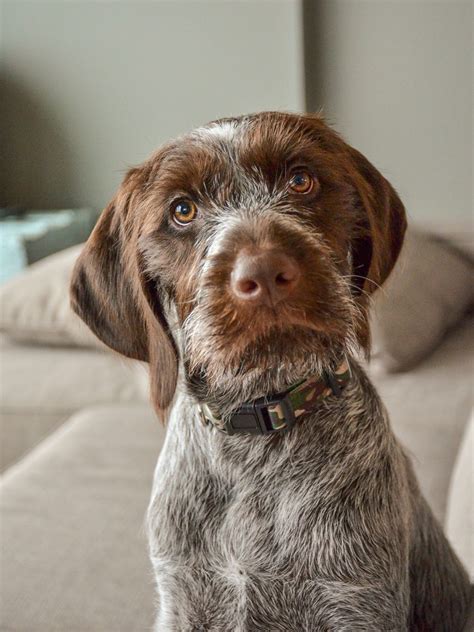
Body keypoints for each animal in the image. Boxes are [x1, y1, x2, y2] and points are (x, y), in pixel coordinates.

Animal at [70, 111, 470, 628]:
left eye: (301, 180)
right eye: (183, 211)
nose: (263, 273)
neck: (256, 437)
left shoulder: (357, 603)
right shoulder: (184, 599)